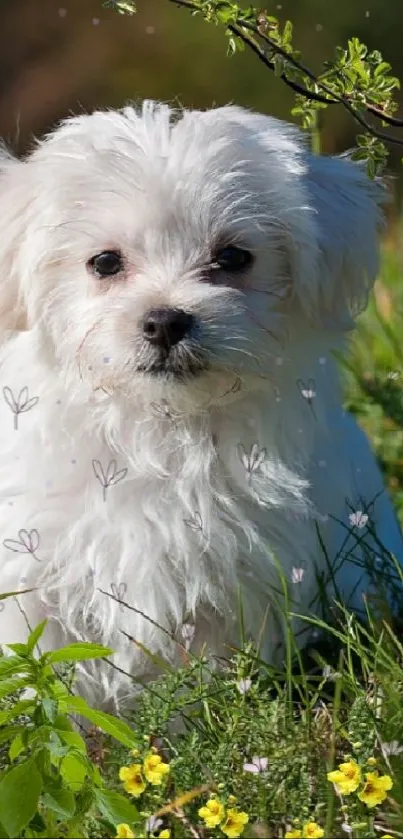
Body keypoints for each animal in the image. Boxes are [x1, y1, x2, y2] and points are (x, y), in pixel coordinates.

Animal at [0, 101, 402, 704]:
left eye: (233, 257)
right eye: (104, 263)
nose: (166, 321)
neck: (163, 429)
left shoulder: (234, 587)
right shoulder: (33, 575)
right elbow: (41, 681)